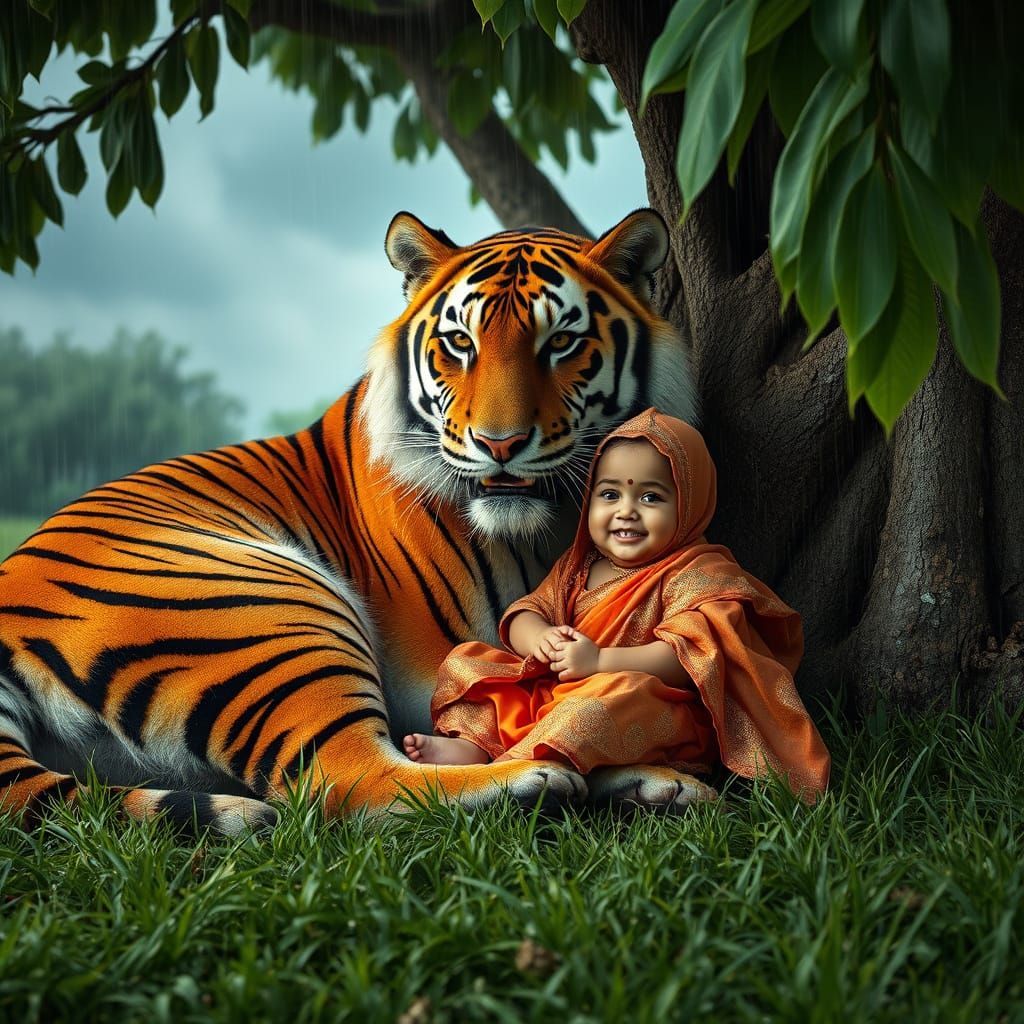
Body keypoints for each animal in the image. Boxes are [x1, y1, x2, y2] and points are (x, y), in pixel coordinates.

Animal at [0, 208, 701, 835]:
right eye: (460, 343)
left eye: (561, 342)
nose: (498, 444)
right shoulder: (427, 671)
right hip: (279, 607)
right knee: (347, 779)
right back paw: (542, 782)